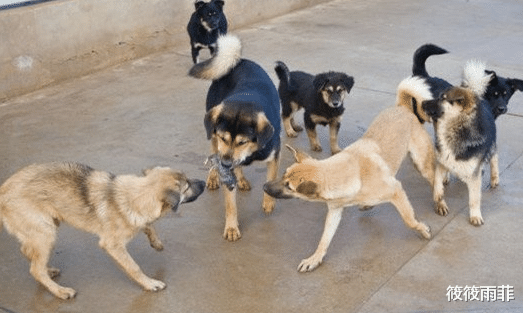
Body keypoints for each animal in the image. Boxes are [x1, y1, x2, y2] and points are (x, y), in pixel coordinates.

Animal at [0, 162, 205, 298]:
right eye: (187, 186)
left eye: (188, 179)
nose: (204, 182)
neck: (136, 195)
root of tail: (3, 190)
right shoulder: (113, 245)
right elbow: (134, 267)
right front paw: (150, 283)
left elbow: (148, 225)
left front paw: (156, 242)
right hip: (46, 233)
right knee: (35, 269)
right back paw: (60, 291)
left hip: (47, 227)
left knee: (29, 254)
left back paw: (48, 270)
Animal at [189, 34, 282, 240]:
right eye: (224, 138)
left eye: (243, 142)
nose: (225, 164)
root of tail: (238, 61)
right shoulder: (222, 148)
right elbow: (230, 204)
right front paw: (231, 227)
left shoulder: (274, 155)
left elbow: (270, 179)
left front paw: (269, 202)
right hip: (211, 130)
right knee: (214, 152)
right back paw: (215, 177)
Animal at [264, 77, 436, 272]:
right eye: (283, 173)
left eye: (289, 186)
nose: (264, 186)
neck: (349, 174)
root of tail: (402, 107)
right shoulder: (334, 211)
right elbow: (325, 239)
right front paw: (315, 258)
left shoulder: (396, 190)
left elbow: (409, 220)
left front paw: (422, 229)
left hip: (421, 163)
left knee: (435, 179)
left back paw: (440, 199)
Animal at [424, 59, 498, 225]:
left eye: (442, 98)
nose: (423, 103)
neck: (456, 128)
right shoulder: (441, 159)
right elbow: (437, 179)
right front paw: (438, 195)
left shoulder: (475, 175)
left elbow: (474, 199)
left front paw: (475, 215)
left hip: (491, 147)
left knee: (494, 157)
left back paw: (495, 177)